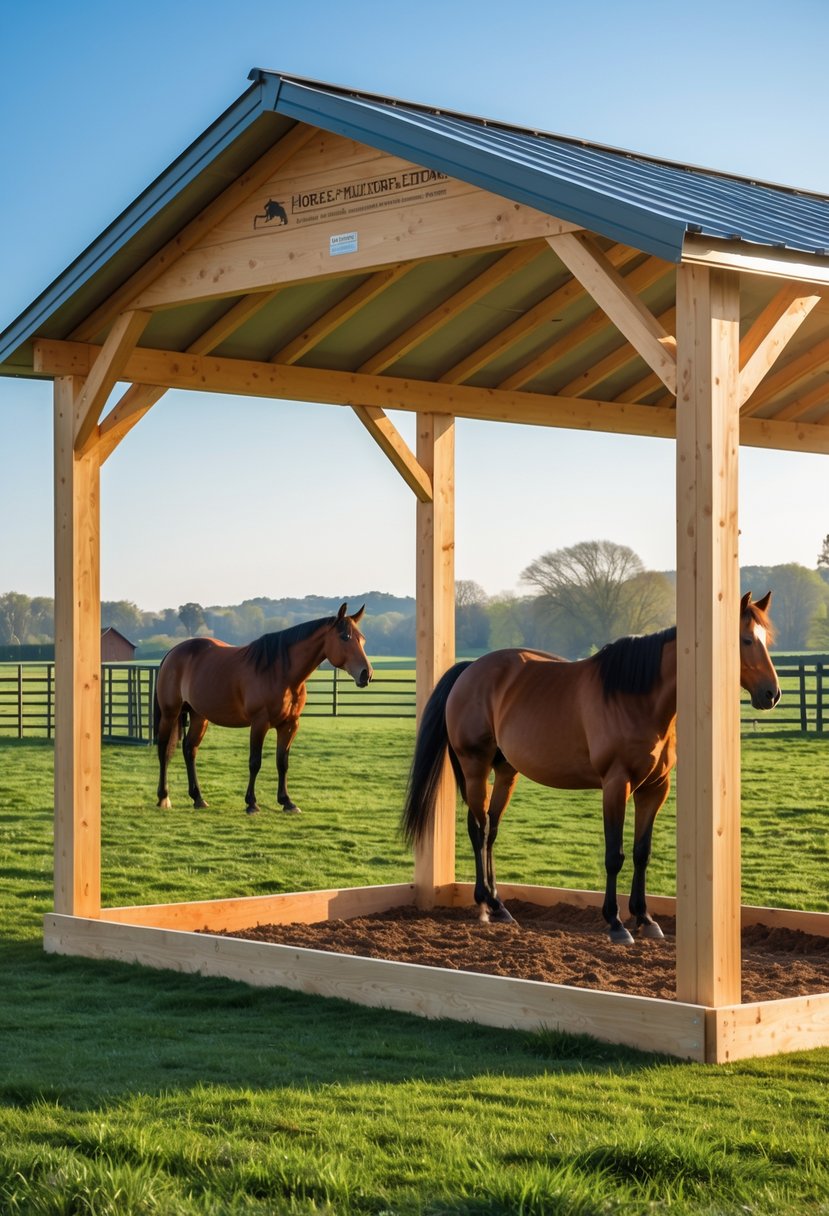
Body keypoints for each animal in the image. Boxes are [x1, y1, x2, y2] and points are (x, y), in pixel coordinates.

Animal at [154, 603, 372, 815]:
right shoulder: (260, 723)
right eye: (345, 637)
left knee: (190, 749)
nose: (366, 674)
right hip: (170, 713)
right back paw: (163, 797)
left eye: (362, 639)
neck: (281, 673)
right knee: (163, 749)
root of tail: (173, 652)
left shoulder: (290, 725)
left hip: (199, 716)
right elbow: (255, 762)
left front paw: (287, 802)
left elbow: (282, 762)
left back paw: (198, 798)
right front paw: (251, 803)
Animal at [401, 592, 780, 943]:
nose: (772, 694)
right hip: (475, 766)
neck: (636, 696)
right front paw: (616, 923)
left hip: (506, 771)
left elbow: (642, 852)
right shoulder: (616, 784)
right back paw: (486, 902)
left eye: (766, 639)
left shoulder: (654, 789)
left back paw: (498, 905)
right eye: (745, 640)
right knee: (479, 829)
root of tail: (470, 669)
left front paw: (645, 918)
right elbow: (615, 854)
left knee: (491, 829)